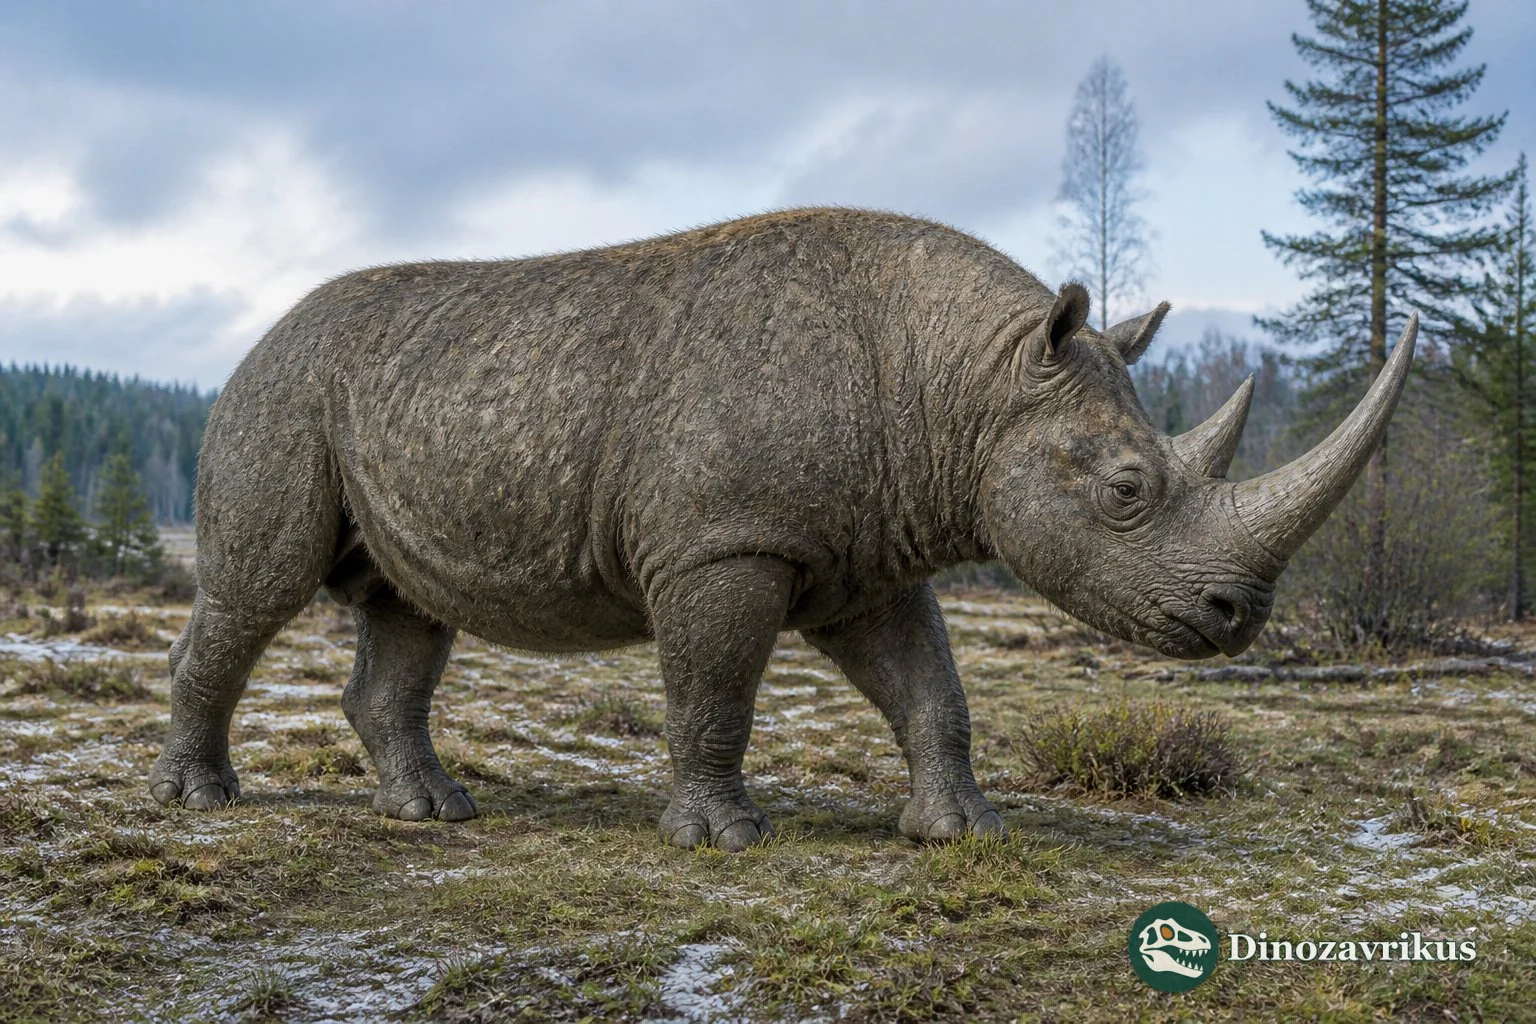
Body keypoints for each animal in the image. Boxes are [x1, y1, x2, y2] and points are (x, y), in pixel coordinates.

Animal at [148, 208, 1415, 850]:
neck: (968, 377)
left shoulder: (864, 552)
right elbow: (716, 690)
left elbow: (931, 691)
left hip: (365, 394)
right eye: (1126, 493)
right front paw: (722, 837)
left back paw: (434, 813)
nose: (1236, 617)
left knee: (408, 608)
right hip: (280, 392)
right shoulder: (727, 542)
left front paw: (963, 832)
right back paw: (203, 803)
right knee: (260, 588)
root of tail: (255, 338)